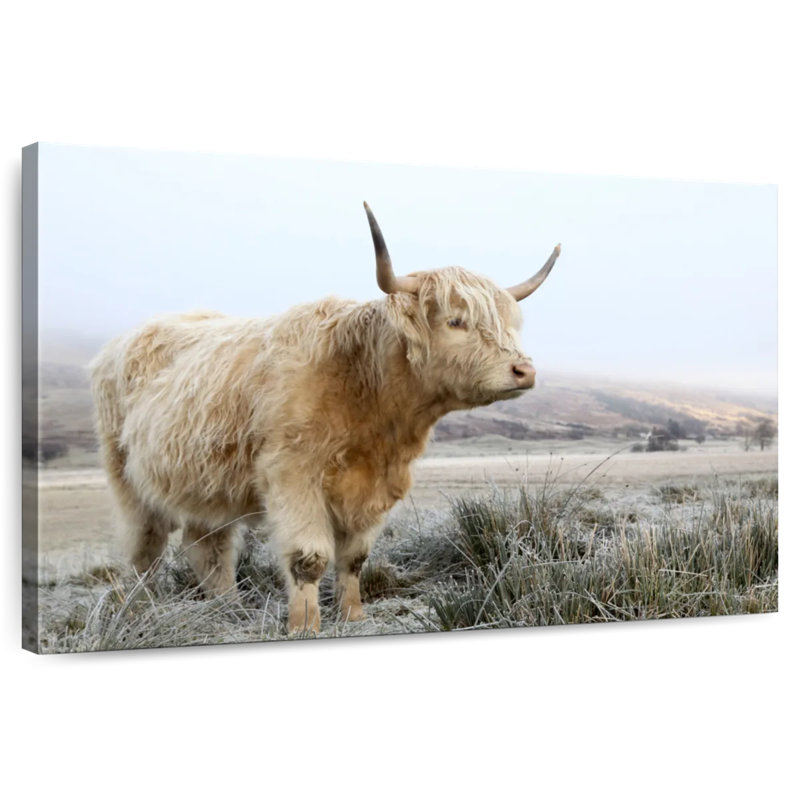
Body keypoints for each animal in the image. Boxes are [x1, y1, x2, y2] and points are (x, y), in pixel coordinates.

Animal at [91, 203, 560, 633]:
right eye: (456, 321)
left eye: (508, 323)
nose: (524, 370)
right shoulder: (292, 475)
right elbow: (308, 558)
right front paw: (305, 625)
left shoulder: (374, 487)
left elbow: (354, 558)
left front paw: (352, 615)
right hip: (127, 478)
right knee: (144, 549)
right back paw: (140, 609)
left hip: (206, 485)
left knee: (209, 547)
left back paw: (227, 609)